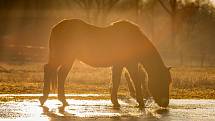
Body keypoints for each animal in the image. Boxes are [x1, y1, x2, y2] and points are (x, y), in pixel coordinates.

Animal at [39, 19, 171, 108]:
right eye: (163, 81)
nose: (165, 104)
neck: (133, 40)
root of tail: (56, 27)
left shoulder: (119, 65)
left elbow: (116, 81)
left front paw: (115, 101)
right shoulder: (130, 65)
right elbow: (135, 81)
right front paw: (140, 103)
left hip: (67, 59)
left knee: (60, 75)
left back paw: (62, 100)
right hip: (64, 57)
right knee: (50, 70)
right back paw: (45, 98)